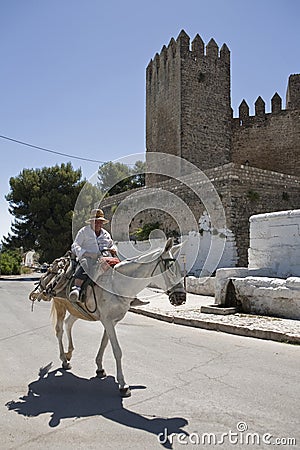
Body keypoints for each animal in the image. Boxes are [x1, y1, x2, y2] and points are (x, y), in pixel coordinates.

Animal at [50, 237, 186, 396]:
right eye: (169, 268)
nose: (181, 298)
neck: (117, 283)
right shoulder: (107, 320)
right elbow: (117, 351)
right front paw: (123, 385)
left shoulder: (111, 321)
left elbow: (104, 343)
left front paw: (100, 368)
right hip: (60, 304)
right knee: (59, 330)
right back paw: (64, 360)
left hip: (78, 310)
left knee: (68, 324)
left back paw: (69, 353)